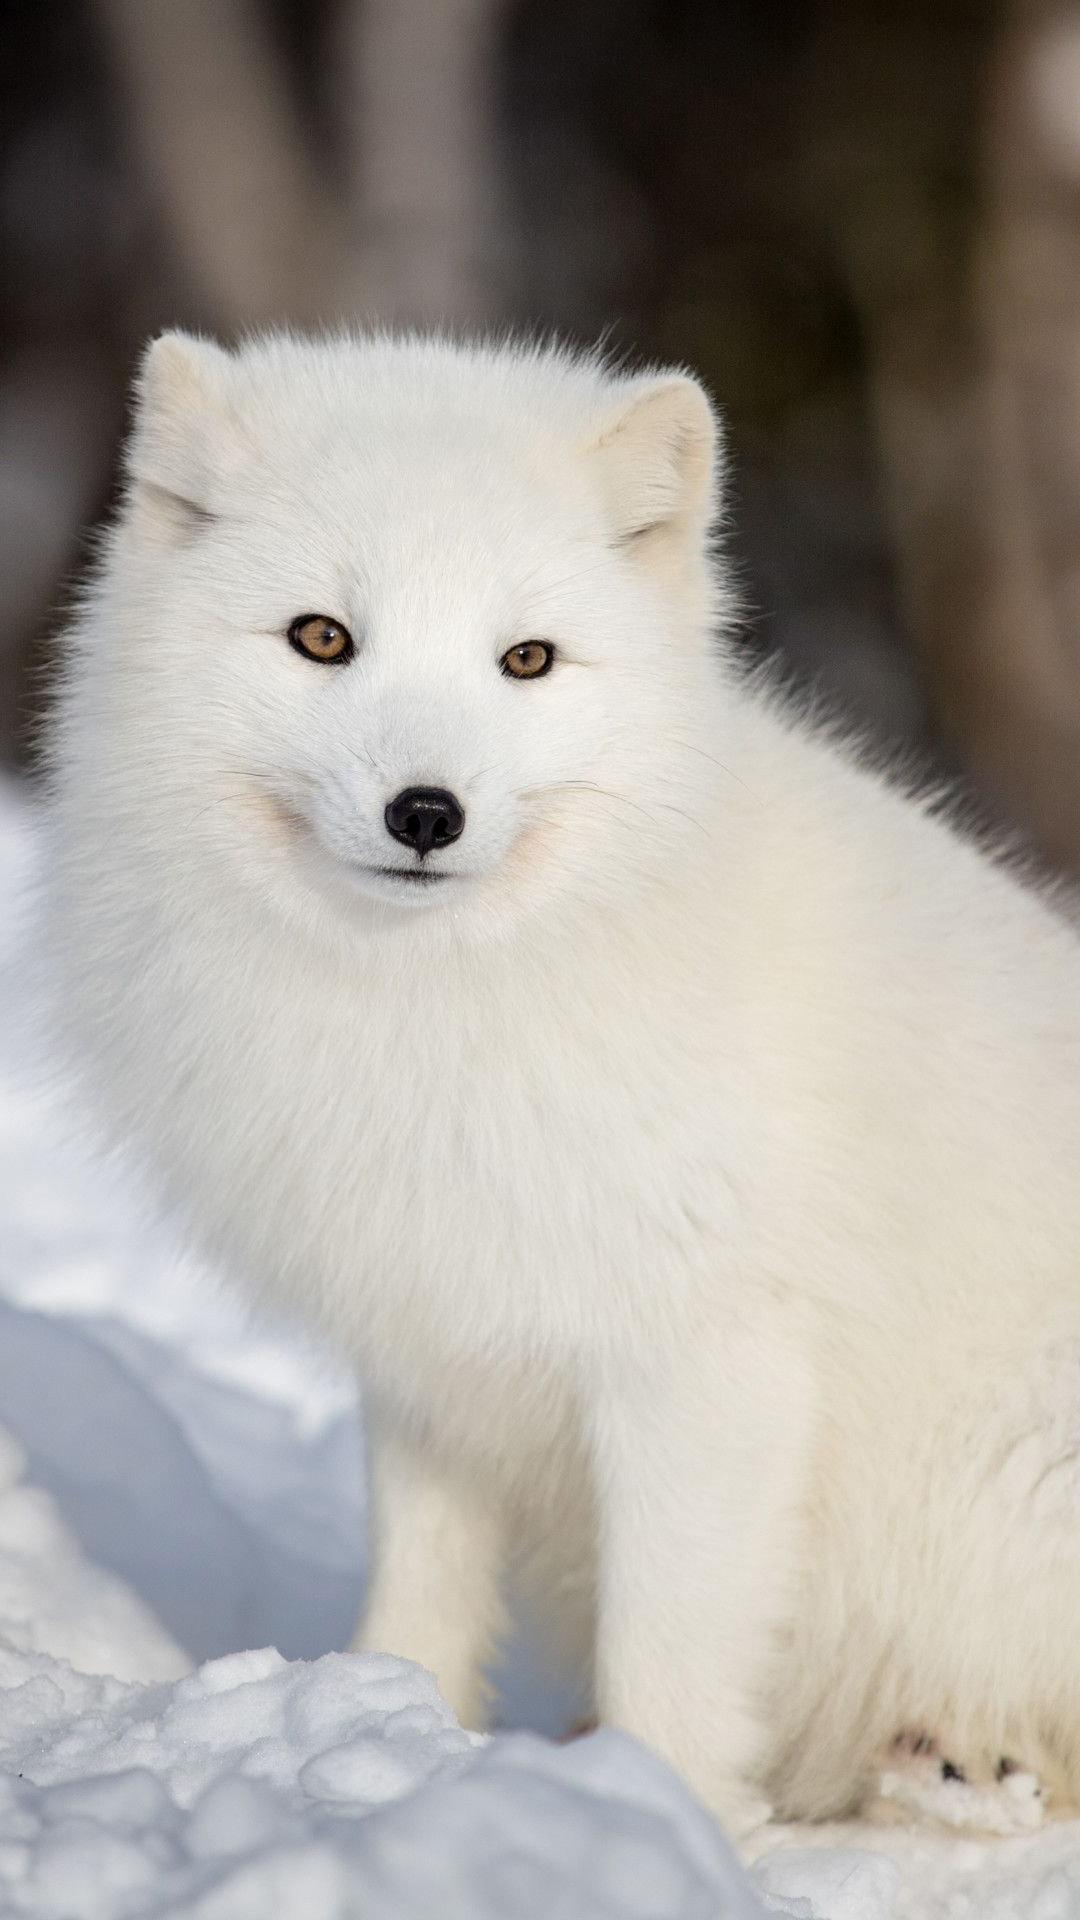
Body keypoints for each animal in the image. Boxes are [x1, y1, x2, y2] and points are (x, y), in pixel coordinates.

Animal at [44, 328, 1080, 1837]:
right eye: (321, 637)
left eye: (525, 658)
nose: (426, 813)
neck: (440, 1012)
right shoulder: (432, 1348)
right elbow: (419, 1586)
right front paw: (385, 1727)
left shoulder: (705, 1362)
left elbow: (676, 1649)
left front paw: (658, 1811)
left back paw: (960, 1769)